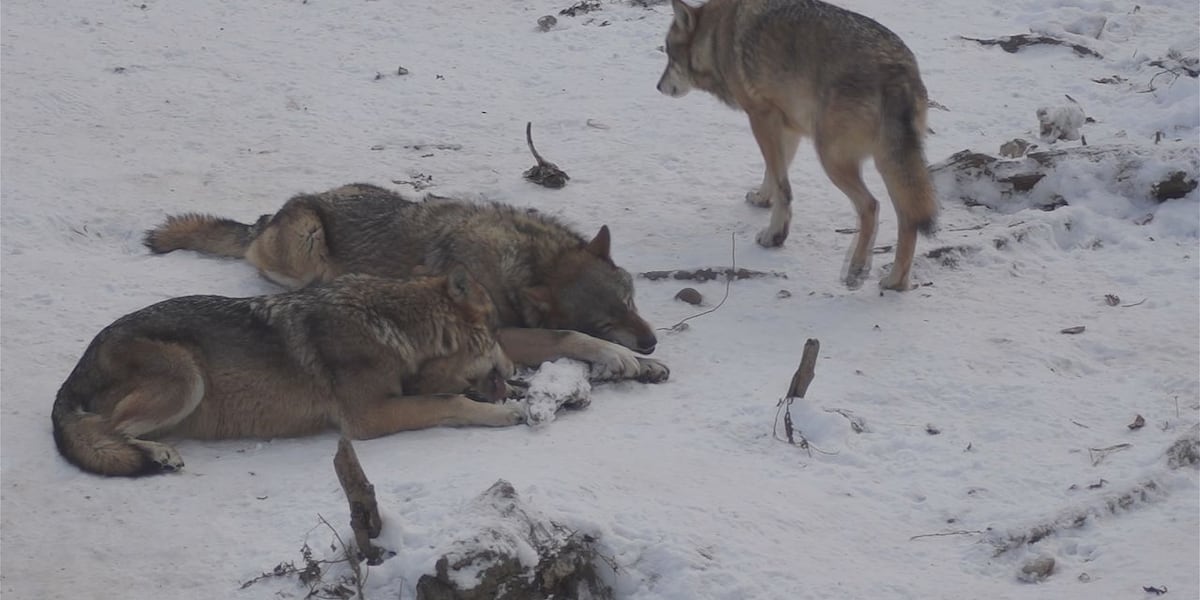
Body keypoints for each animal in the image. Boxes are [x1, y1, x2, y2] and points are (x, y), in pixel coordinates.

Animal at [52, 270, 524, 477]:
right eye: (498, 333)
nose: (518, 368)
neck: (397, 327)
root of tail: (78, 366)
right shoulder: (366, 418)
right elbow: (452, 401)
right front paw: (508, 414)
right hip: (186, 379)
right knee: (109, 428)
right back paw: (160, 454)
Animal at [144, 184, 669, 382]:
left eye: (630, 301)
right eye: (605, 321)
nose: (651, 341)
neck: (527, 262)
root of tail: (269, 216)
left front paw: (646, 363)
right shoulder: (498, 333)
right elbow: (568, 334)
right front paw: (620, 357)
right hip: (306, 244)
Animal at [657, 0, 938, 290]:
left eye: (669, 56)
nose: (658, 86)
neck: (715, 37)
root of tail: (897, 69)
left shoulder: (761, 117)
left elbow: (783, 187)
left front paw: (774, 235)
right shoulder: (786, 127)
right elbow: (772, 174)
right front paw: (761, 198)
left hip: (831, 158)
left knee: (871, 206)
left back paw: (856, 270)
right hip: (890, 162)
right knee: (908, 218)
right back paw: (895, 282)